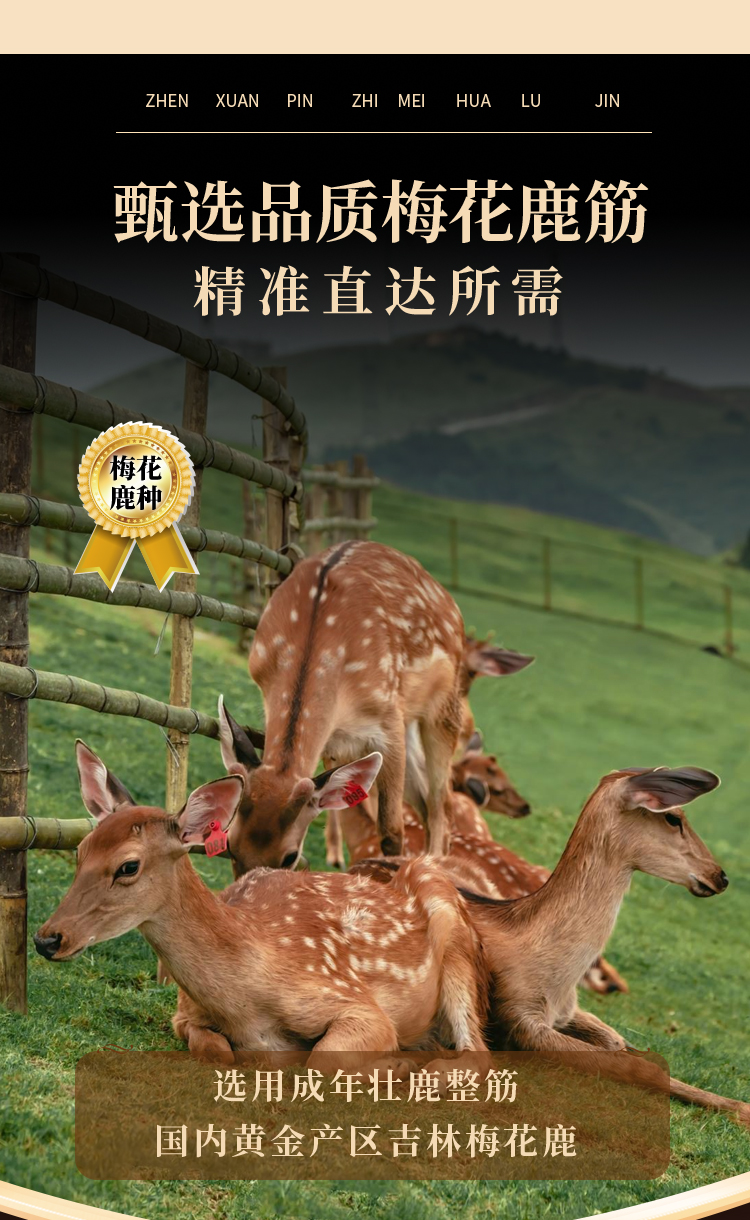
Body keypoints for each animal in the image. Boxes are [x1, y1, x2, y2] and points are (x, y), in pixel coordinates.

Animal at [34, 741, 492, 1075]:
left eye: (128, 866)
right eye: (80, 850)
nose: (47, 938)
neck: (246, 1005)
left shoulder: (359, 1005)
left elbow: (322, 1057)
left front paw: (394, 1062)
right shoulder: (183, 1014)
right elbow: (215, 1049)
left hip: (453, 928)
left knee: (476, 1053)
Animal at [217, 539, 533, 872]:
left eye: (290, 856)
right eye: (231, 846)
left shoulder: (388, 716)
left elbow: (392, 829)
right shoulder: (336, 738)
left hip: (443, 709)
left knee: (440, 803)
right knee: (425, 803)